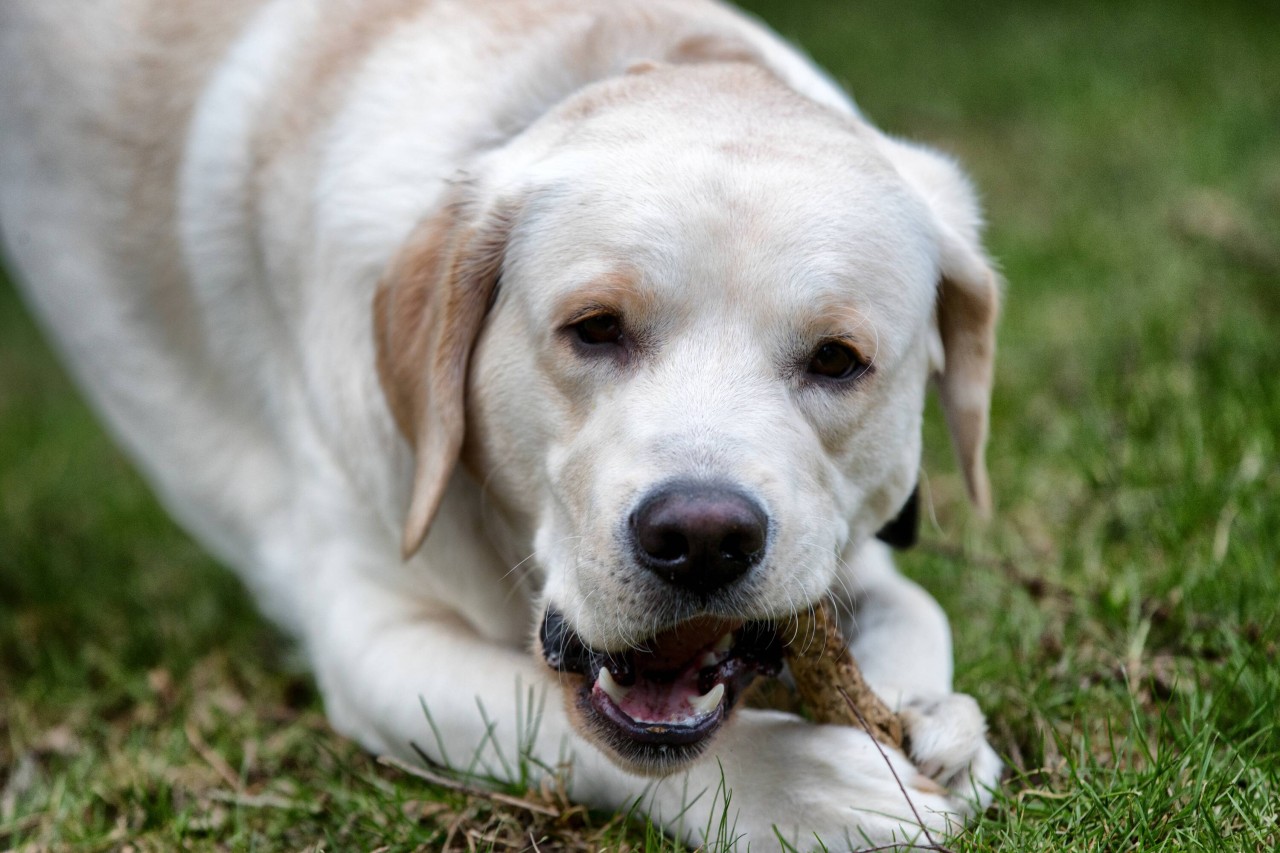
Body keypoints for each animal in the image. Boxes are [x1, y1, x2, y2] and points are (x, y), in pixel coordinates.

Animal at [0, 0, 998, 845]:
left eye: (836, 359)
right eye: (594, 327)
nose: (703, 537)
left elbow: (917, 609)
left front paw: (938, 720)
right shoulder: (374, 637)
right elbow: (553, 715)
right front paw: (815, 792)